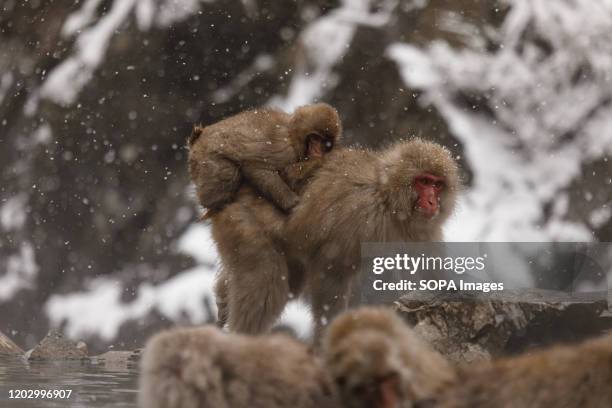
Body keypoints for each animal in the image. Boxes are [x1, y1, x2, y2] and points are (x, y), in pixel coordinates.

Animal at [188, 103, 340, 214]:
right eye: (315, 138)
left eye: (326, 144)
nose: (317, 150)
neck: (292, 134)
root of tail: (197, 138)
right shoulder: (284, 150)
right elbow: (257, 168)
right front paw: (292, 203)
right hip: (206, 156)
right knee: (226, 174)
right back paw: (213, 202)